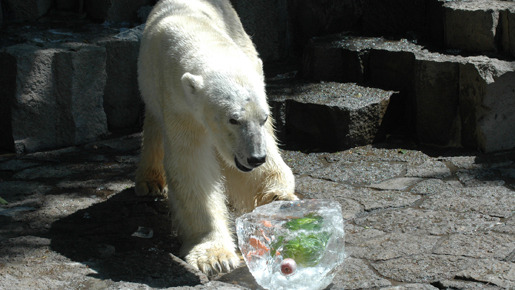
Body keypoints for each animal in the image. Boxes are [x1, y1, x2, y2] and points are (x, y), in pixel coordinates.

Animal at [135, 0, 298, 274]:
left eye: (263, 118)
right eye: (233, 119)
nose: (255, 158)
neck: (200, 36)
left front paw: (278, 197)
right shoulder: (179, 105)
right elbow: (192, 167)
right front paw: (215, 257)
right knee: (154, 126)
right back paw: (149, 182)